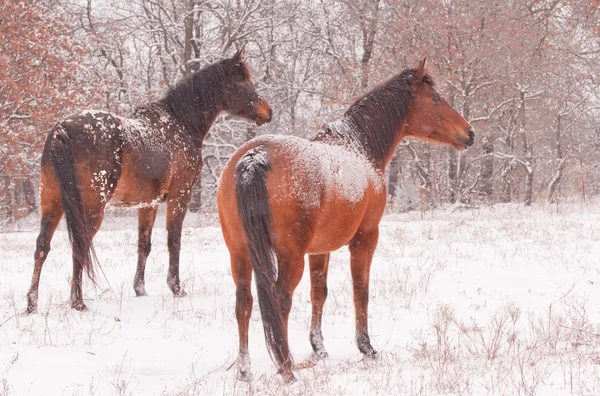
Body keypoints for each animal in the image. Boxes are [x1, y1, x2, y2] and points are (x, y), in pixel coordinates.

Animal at [26, 51, 272, 314]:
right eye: (243, 82)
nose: (268, 111)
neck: (181, 123)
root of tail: (62, 130)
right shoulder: (180, 196)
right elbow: (174, 241)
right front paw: (176, 288)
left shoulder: (148, 204)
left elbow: (144, 244)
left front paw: (140, 289)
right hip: (91, 208)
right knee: (80, 246)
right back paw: (78, 301)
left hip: (52, 201)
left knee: (42, 246)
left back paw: (32, 303)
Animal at [216, 58, 474, 380]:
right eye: (436, 99)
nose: (469, 132)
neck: (359, 147)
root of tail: (255, 156)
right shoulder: (365, 237)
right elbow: (360, 290)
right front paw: (367, 348)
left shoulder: (319, 249)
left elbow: (319, 293)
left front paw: (319, 348)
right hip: (289, 257)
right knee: (280, 301)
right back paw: (286, 368)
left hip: (239, 252)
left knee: (244, 302)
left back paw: (244, 369)